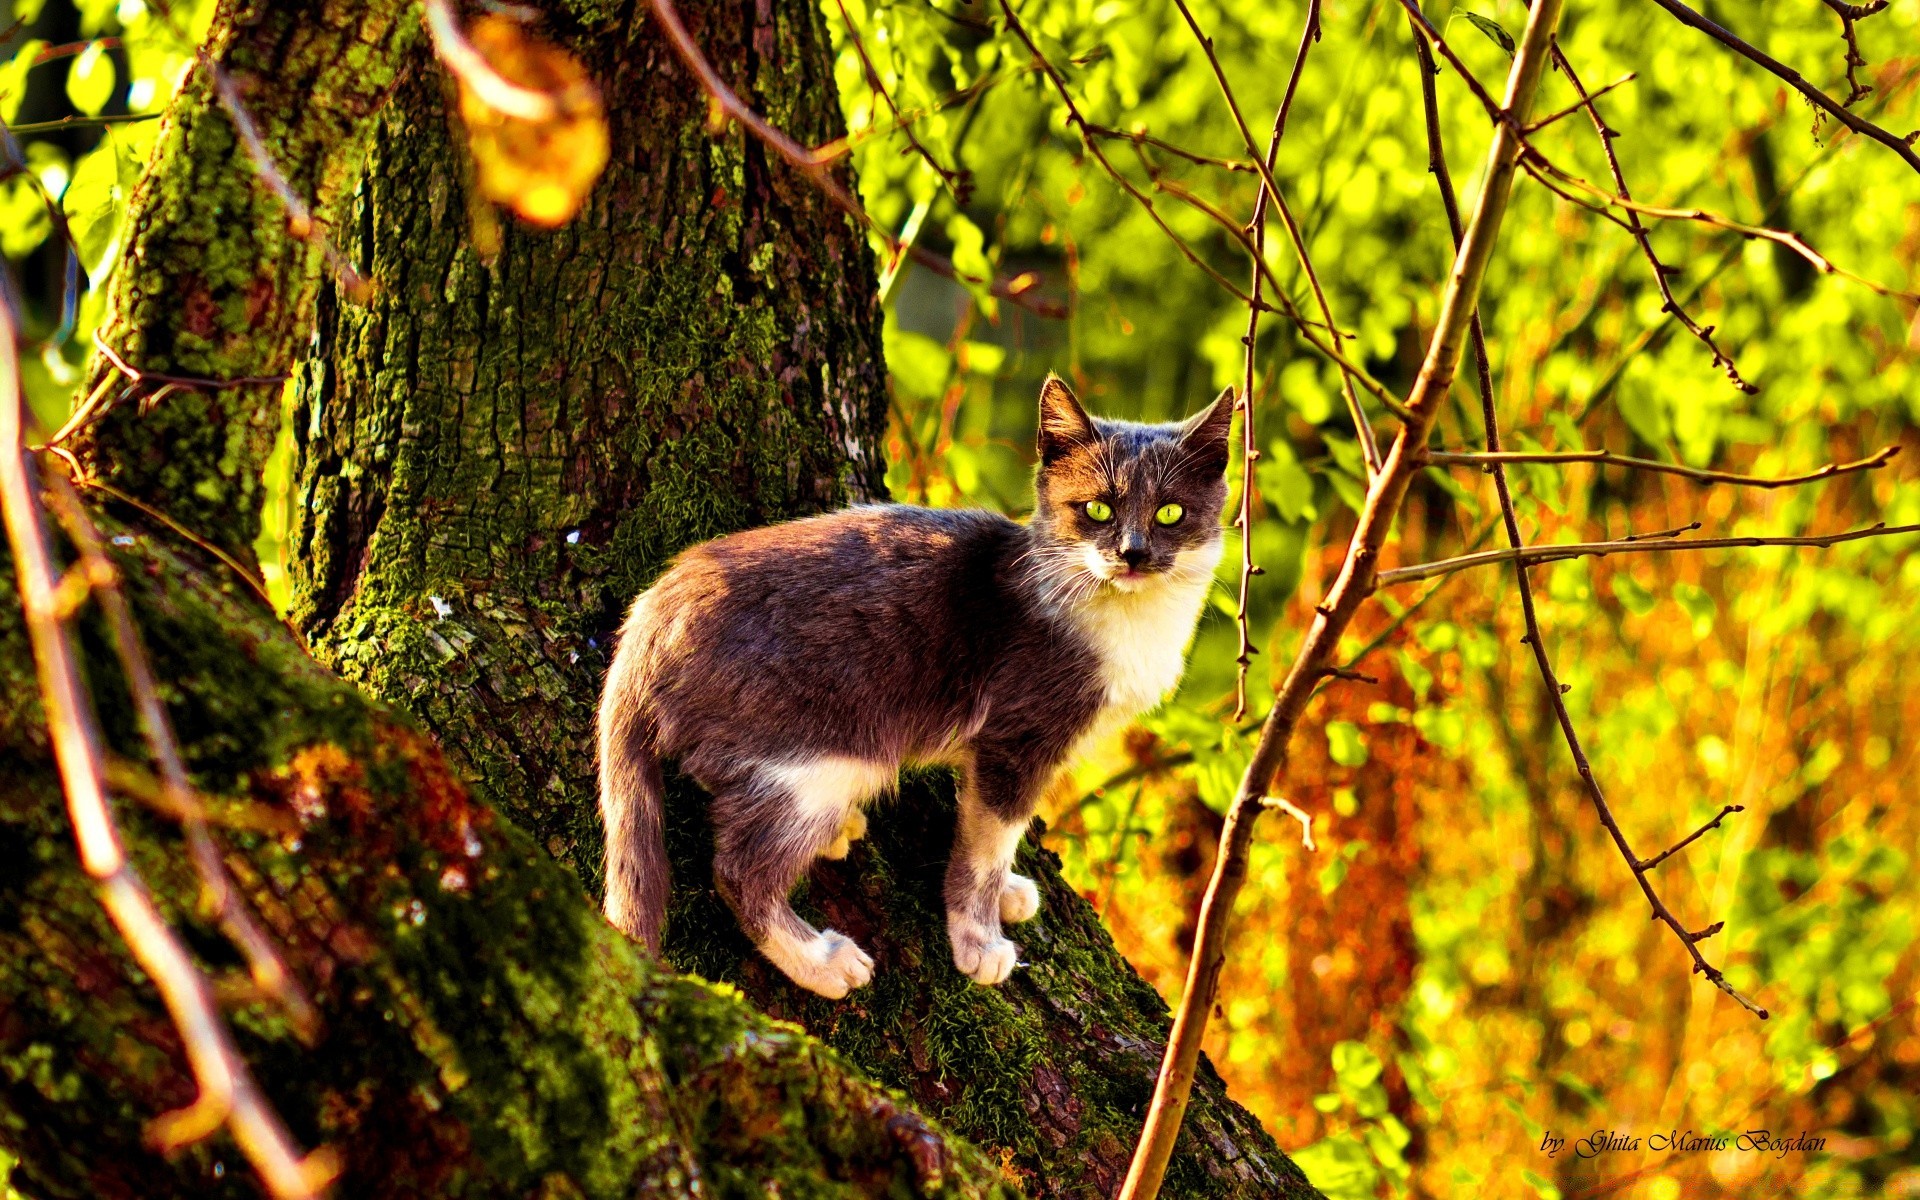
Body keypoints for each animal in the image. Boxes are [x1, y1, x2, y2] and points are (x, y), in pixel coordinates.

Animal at [591, 372, 1236, 990]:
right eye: (1097, 509)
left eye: (1171, 512)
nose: (1133, 553)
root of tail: (651, 610)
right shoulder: (1017, 734)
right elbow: (988, 841)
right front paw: (978, 940)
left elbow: (986, 828)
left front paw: (1007, 891)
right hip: (822, 756)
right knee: (737, 869)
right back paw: (820, 961)